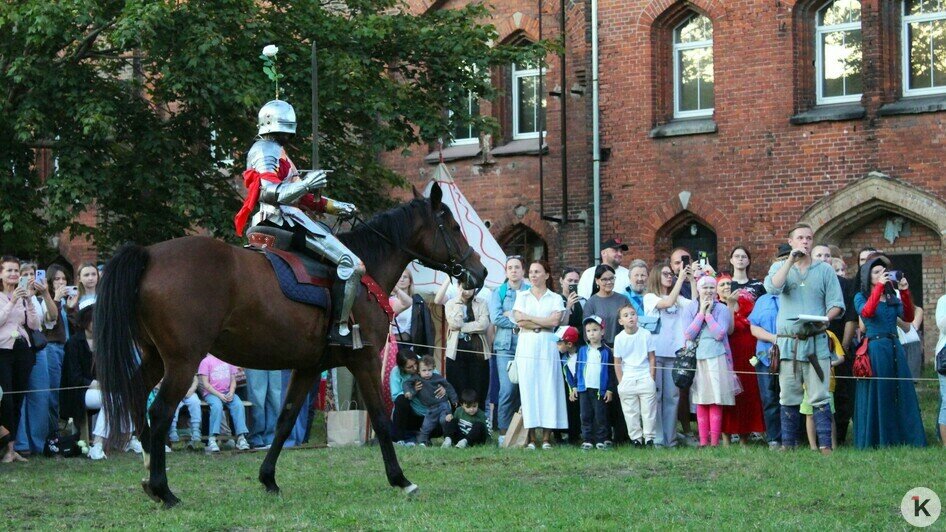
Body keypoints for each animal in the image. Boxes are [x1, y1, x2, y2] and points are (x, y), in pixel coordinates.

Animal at [92, 186, 484, 508]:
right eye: (451, 226)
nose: (478, 273)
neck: (366, 274)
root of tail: (149, 255)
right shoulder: (365, 361)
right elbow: (381, 419)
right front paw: (401, 480)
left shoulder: (308, 367)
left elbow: (285, 419)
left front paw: (268, 479)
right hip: (183, 362)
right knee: (159, 412)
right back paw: (163, 489)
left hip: (156, 358)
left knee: (135, 393)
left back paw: (148, 471)